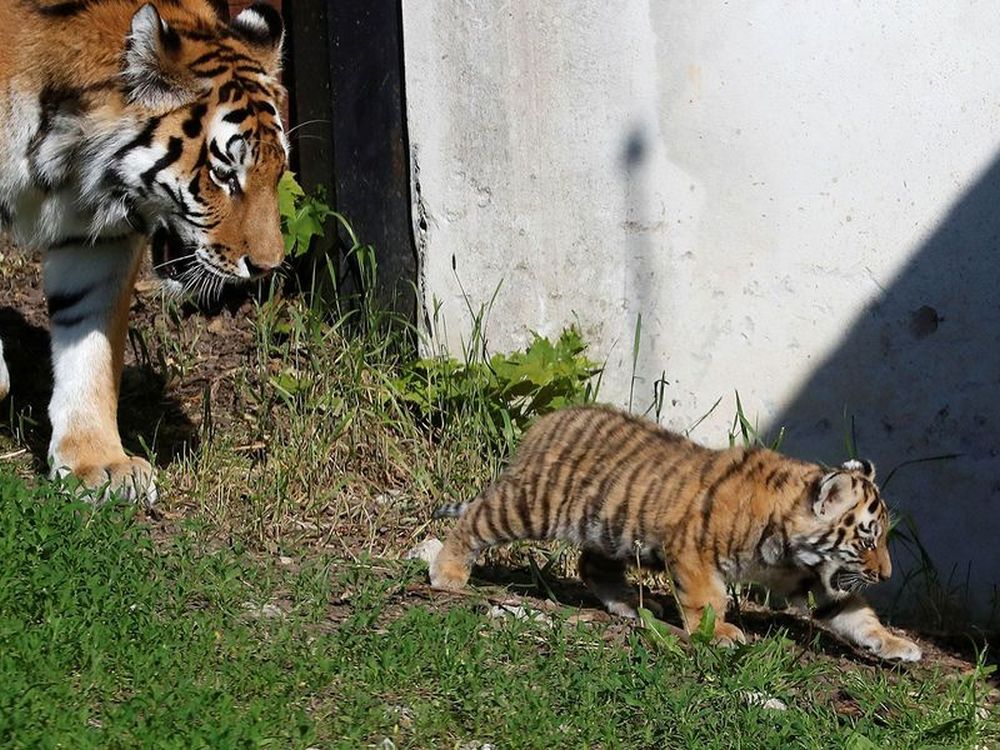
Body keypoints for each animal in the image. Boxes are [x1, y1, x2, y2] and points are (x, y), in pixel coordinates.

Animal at [0, 2, 290, 506]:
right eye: (223, 174)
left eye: (277, 171)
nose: (267, 267)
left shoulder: (95, 238)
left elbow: (90, 343)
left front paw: (96, 462)